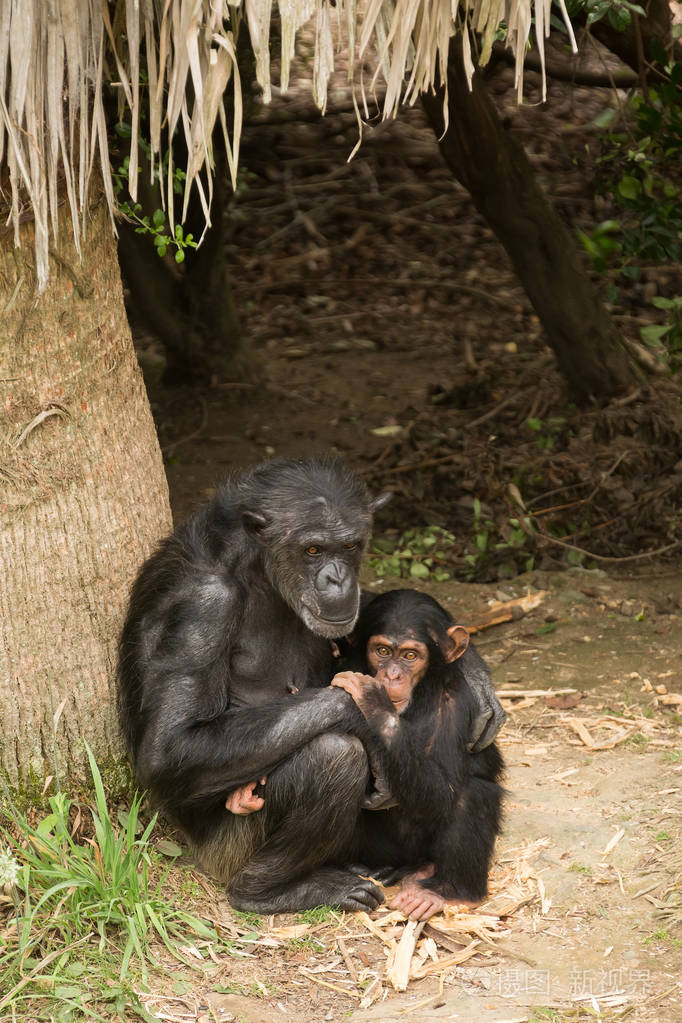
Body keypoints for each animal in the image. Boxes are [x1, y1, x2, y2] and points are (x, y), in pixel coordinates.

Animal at [333, 589, 505, 924]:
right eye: (382, 651)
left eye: (410, 656)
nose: (392, 675)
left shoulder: (457, 701)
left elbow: (443, 792)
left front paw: (373, 701)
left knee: (471, 793)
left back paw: (442, 889)